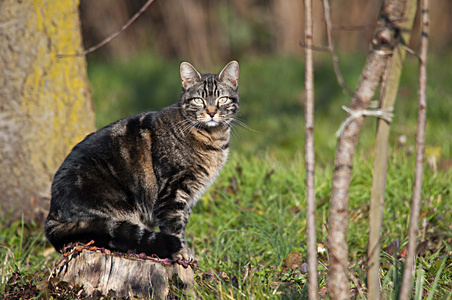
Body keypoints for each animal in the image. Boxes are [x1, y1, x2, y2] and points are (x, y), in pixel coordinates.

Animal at [43, 61, 238, 260]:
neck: (213, 140)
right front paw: (180, 252)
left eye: (222, 99)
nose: (212, 112)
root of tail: (52, 216)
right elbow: (173, 226)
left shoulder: (189, 195)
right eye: (199, 100)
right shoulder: (172, 190)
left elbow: (182, 222)